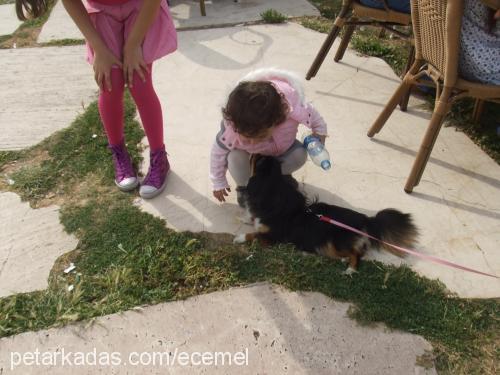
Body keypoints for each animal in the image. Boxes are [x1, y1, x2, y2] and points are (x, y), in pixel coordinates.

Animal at [234, 157, 418, 274]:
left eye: (258, 160)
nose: (255, 152)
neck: (273, 193)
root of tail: (366, 219)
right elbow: (254, 223)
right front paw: (245, 219)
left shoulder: (273, 237)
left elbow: (254, 234)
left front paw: (239, 237)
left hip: (334, 242)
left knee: (357, 254)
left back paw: (350, 269)